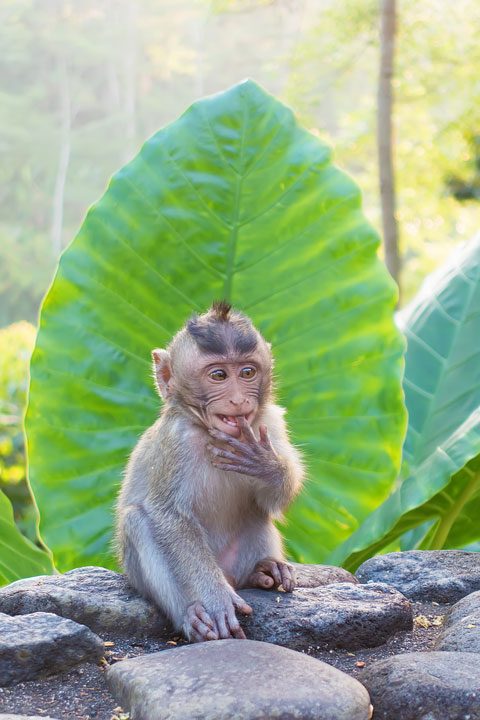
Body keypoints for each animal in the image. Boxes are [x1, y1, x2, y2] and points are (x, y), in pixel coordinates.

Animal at [116, 300, 304, 644]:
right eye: (218, 375)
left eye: (247, 372)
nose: (238, 399)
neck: (207, 431)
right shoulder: (175, 442)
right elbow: (168, 516)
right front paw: (215, 602)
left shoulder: (269, 421)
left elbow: (275, 499)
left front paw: (264, 465)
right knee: (138, 520)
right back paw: (194, 617)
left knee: (256, 513)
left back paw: (263, 572)